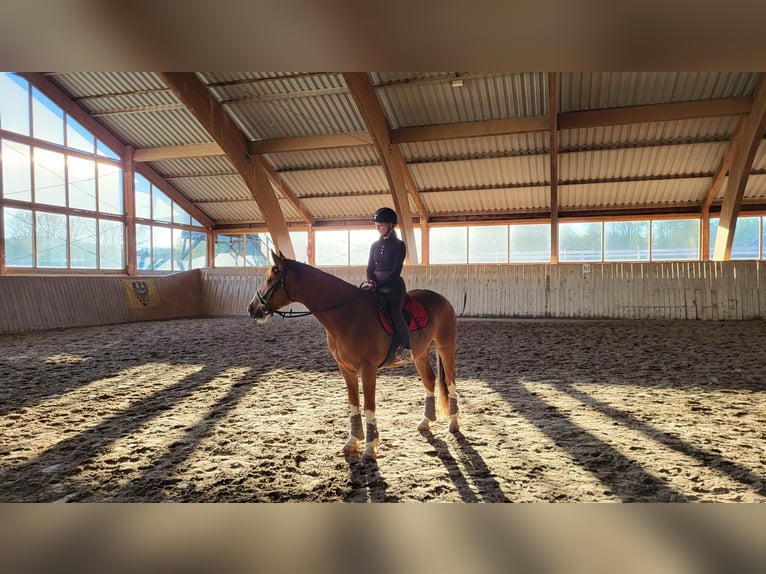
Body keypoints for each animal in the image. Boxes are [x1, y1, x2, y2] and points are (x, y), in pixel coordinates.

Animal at [248, 251, 460, 460]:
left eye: (270, 280)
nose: (252, 309)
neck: (347, 314)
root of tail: (442, 299)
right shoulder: (345, 368)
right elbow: (353, 404)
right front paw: (352, 441)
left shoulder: (368, 368)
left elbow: (368, 406)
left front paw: (370, 448)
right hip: (420, 354)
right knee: (429, 379)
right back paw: (426, 421)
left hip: (446, 348)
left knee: (450, 382)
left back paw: (454, 423)